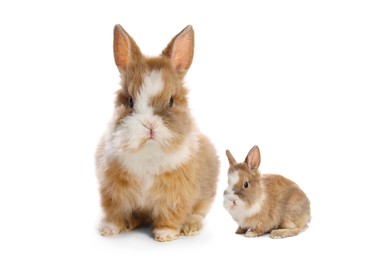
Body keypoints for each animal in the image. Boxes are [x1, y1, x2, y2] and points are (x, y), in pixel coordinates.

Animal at [95, 24, 219, 242]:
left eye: (171, 100)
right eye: (130, 101)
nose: (150, 125)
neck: (148, 151)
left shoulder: (175, 194)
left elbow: (170, 213)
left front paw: (166, 235)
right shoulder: (112, 192)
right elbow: (114, 212)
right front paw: (108, 230)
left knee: (198, 212)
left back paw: (190, 226)